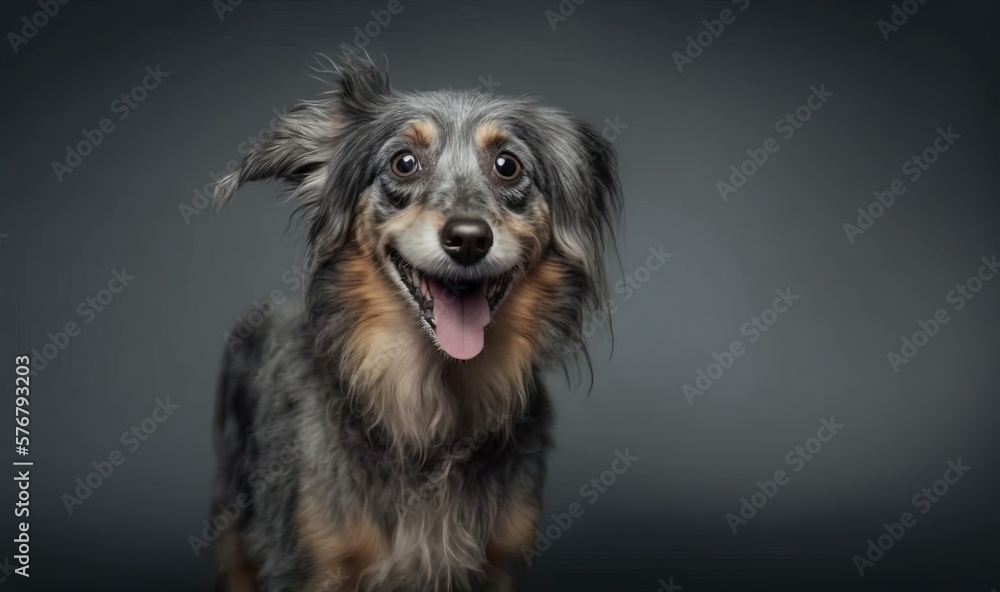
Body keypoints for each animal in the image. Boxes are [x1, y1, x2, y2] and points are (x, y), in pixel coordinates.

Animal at [209, 56, 616, 592]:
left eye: (508, 166)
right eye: (404, 162)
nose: (468, 239)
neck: (431, 406)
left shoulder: (498, 563)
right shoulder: (307, 563)